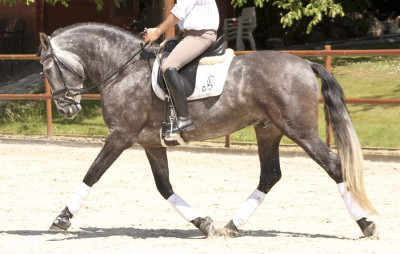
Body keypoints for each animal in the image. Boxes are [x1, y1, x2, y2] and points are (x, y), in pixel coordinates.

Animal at [39, 23, 376, 238]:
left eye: (47, 69)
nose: (66, 109)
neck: (124, 70)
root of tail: (306, 64)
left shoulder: (121, 135)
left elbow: (92, 173)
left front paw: (61, 218)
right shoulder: (150, 142)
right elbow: (164, 187)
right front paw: (204, 223)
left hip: (301, 131)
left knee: (334, 166)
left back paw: (366, 224)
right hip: (268, 130)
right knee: (270, 175)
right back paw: (232, 226)